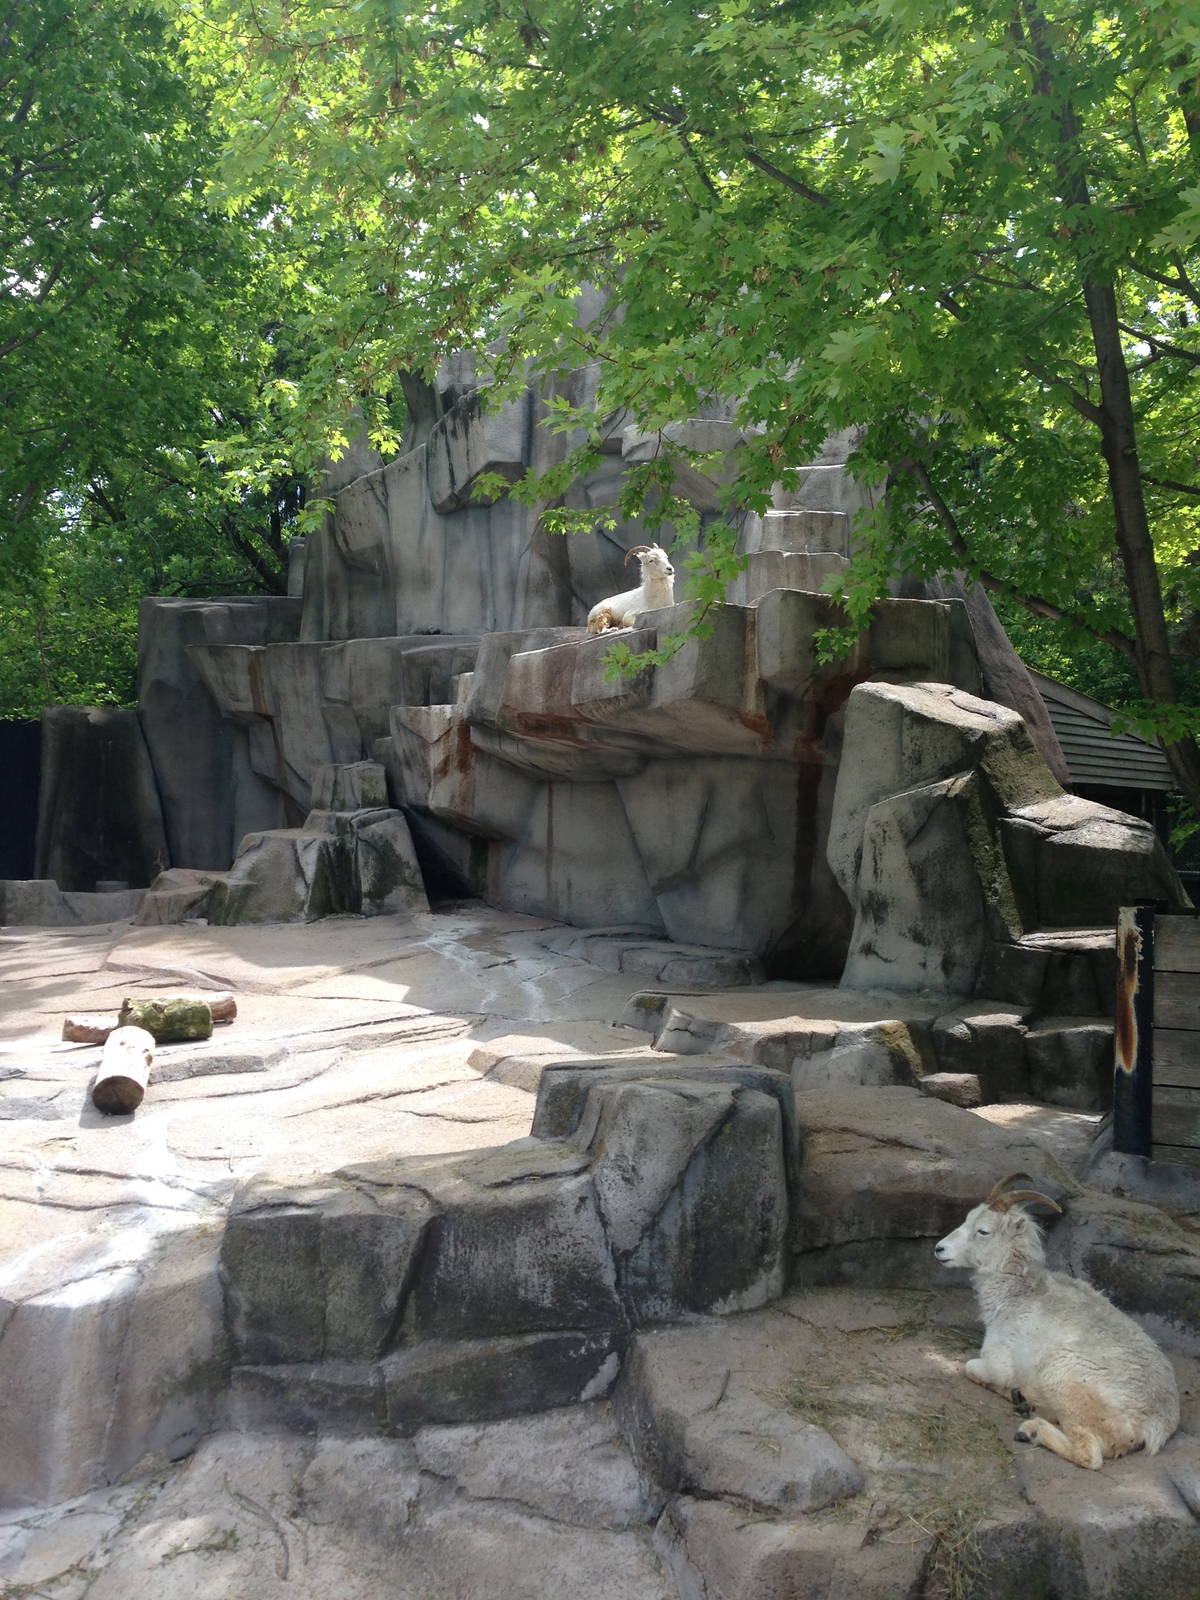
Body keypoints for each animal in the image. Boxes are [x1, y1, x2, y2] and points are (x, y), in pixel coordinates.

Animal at [934, 1172, 1179, 1469]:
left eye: (983, 1231)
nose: (940, 1249)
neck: (1017, 1297)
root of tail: (1157, 1421)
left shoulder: (997, 1365)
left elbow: (970, 1368)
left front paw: (1019, 1395)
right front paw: (1021, 1397)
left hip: (1065, 1382)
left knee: (1090, 1454)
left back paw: (1030, 1428)